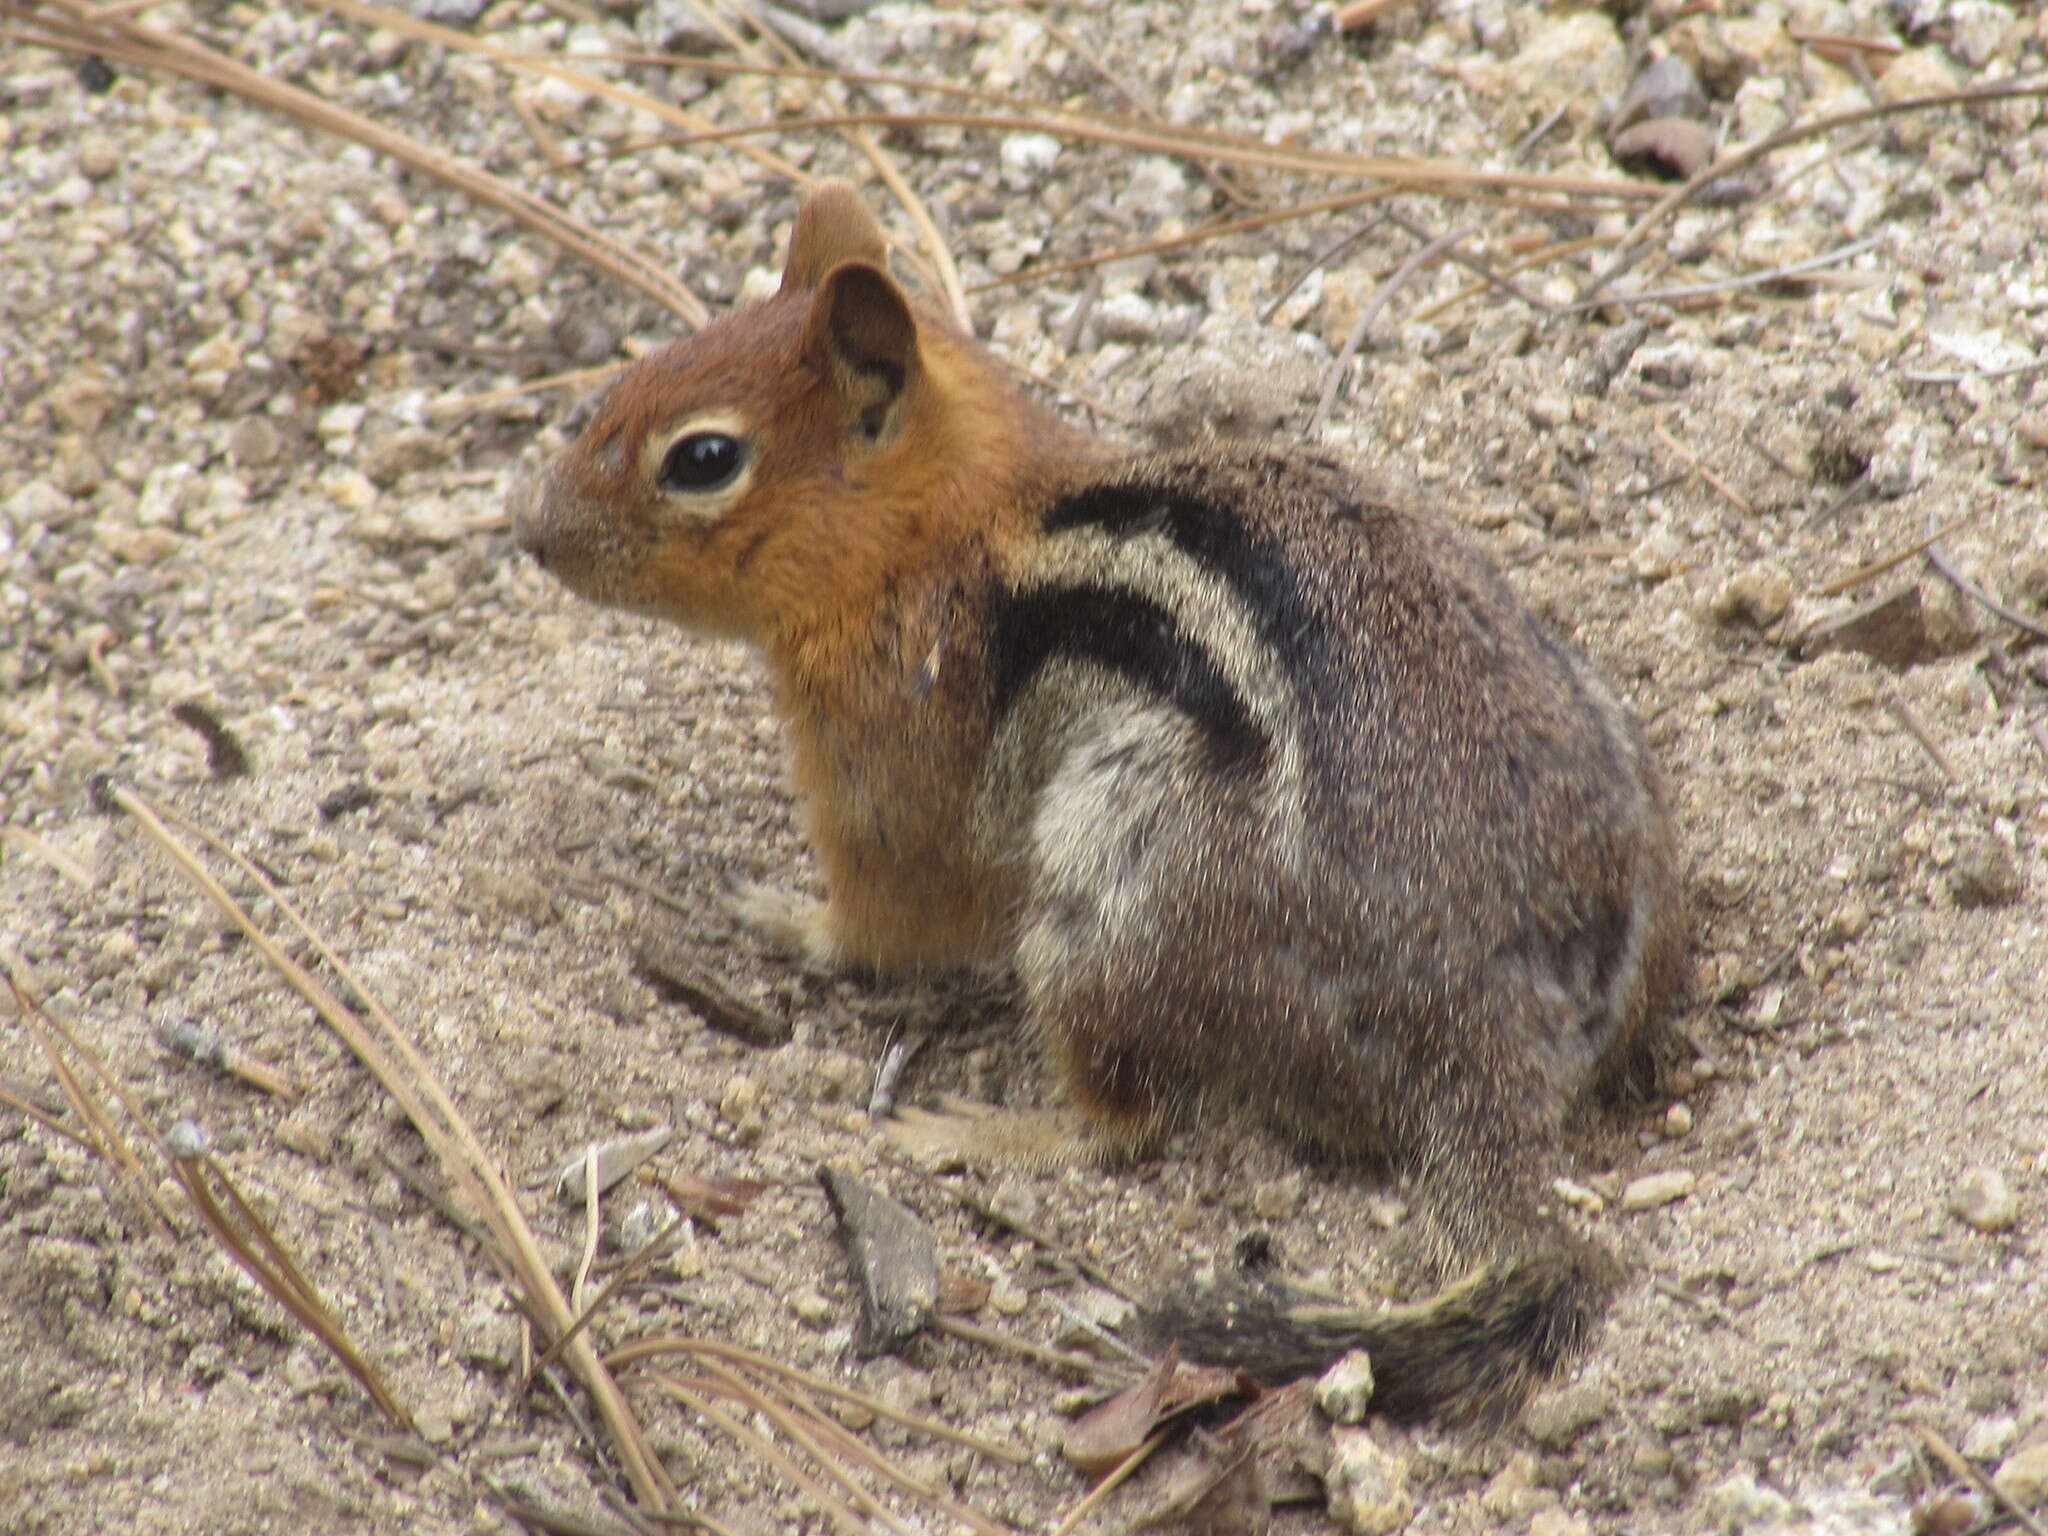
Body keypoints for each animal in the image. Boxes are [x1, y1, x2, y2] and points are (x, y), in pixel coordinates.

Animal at [520, 183, 1687, 1433]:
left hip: (1111, 897)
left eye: (701, 458)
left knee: (1123, 1124)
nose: (531, 533)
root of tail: (1485, 1028)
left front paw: (774, 914)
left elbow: (884, 919)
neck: (946, 535)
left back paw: (969, 1128)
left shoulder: (883, 776)